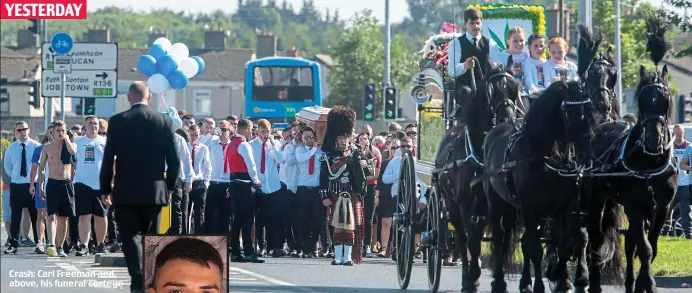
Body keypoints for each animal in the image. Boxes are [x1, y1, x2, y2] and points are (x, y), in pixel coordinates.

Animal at [432, 55, 520, 292]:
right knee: (462, 239)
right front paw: (472, 278)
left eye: (514, 89)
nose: (507, 120)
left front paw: (493, 278)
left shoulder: (495, 205)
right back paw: (467, 276)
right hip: (451, 205)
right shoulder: (466, 205)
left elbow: (498, 240)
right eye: (492, 91)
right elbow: (470, 242)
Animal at [588, 14, 680, 293]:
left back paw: (629, 283)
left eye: (665, 99)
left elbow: (650, 247)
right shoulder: (636, 206)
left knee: (628, 244)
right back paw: (593, 281)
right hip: (598, 198)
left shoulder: (662, 208)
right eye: (642, 99)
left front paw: (642, 282)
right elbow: (645, 247)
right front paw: (649, 282)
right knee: (595, 237)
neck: (649, 162)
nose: (653, 138)